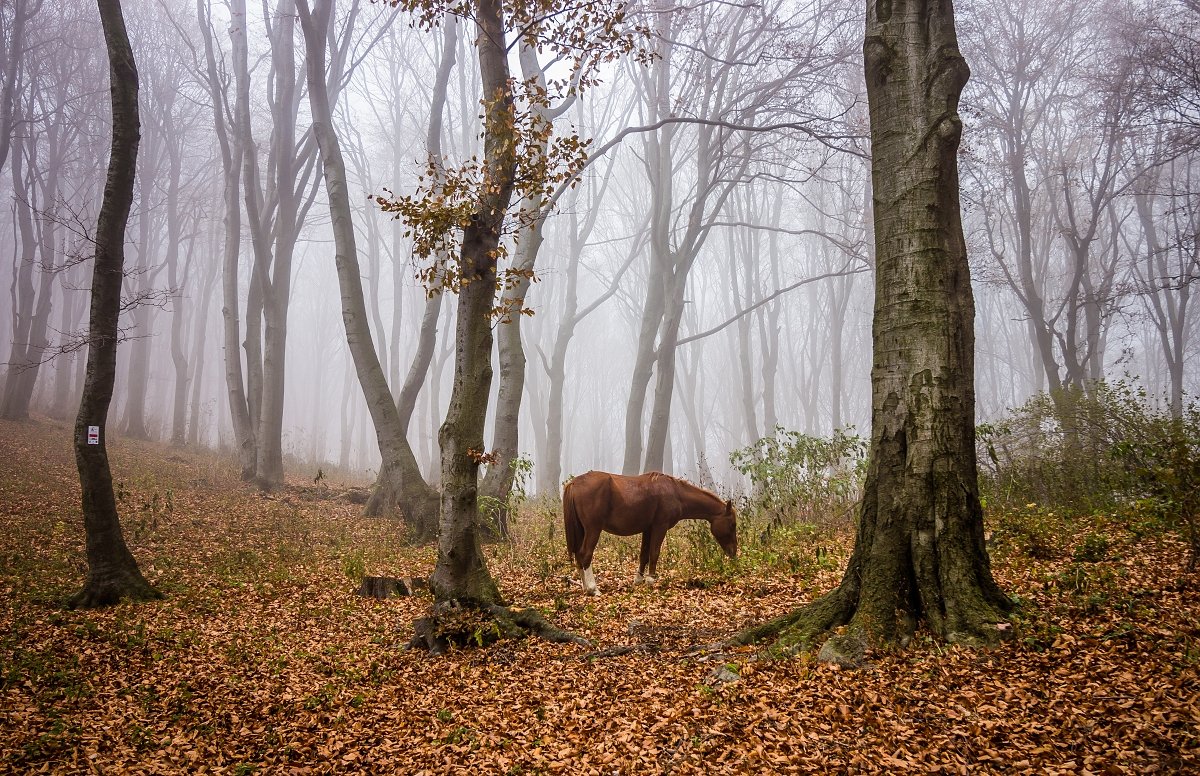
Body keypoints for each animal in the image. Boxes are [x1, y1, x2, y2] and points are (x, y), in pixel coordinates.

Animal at [559, 472, 729, 594]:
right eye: (731, 523)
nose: (732, 553)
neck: (675, 492)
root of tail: (574, 483)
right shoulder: (660, 527)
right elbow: (654, 553)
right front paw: (650, 581)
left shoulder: (648, 529)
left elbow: (644, 555)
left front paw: (638, 580)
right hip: (593, 529)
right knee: (585, 554)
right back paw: (593, 589)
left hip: (581, 530)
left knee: (578, 556)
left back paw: (584, 586)